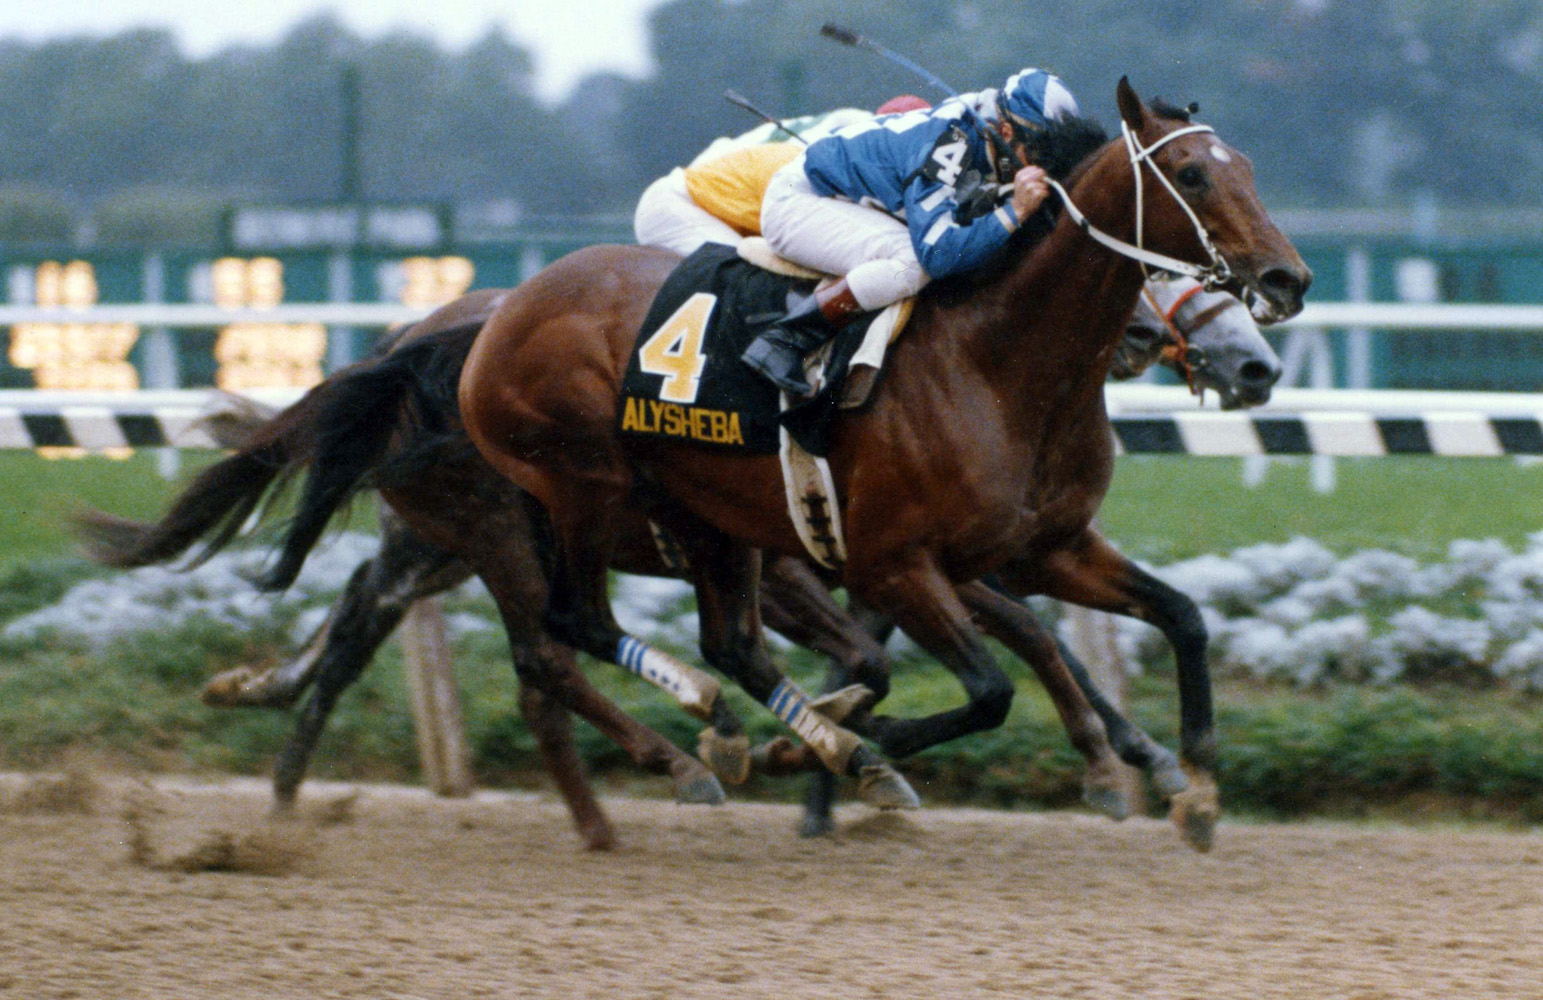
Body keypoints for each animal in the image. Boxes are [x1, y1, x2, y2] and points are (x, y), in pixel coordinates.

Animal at [459, 77, 1314, 845]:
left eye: (1246, 168)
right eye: (1192, 174)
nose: (1286, 278)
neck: (996, 361)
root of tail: (503, 312)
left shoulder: (1044, 548)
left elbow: (1177, 618)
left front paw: (1193, 786)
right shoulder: (892, 564)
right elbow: (984, 686)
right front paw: (847, 745)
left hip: (707, 517)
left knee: (726, 644)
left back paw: (750, 738)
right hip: (582, 489)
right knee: (571, 625)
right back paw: (719, 748)